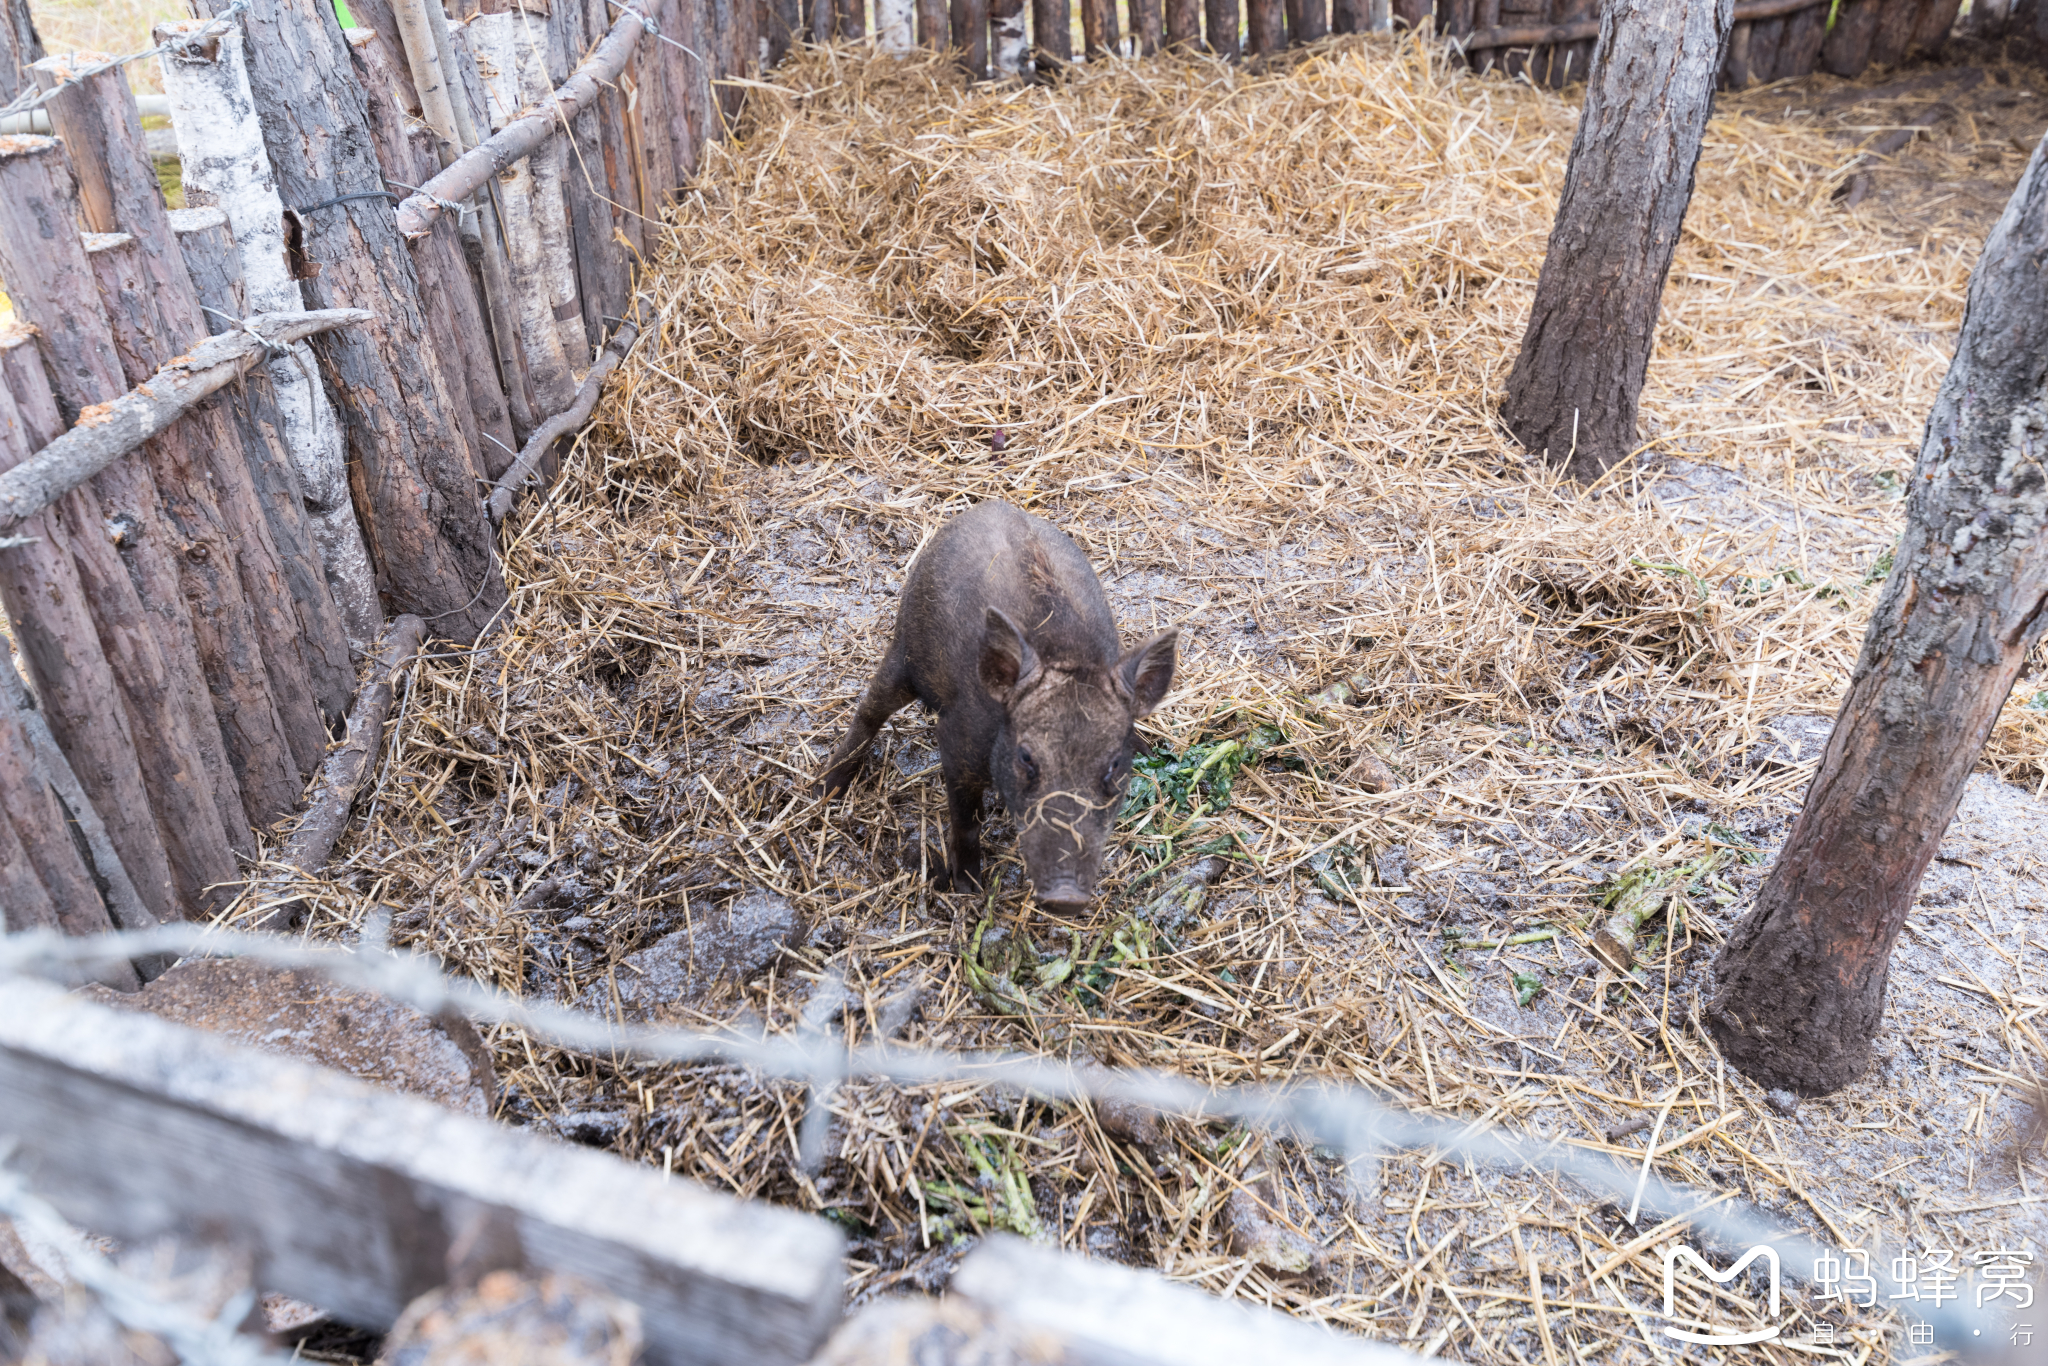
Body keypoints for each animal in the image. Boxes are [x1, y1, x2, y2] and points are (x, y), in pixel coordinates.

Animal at [811, 497, 1171, 913]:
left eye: (1113, 765)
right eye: (1027, 757)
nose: (1066, 897)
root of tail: (990, 505)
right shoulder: (955, 741)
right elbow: (966, 822)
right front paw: (968, 889)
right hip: (905, 648)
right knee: (869, 710)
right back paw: (824, 790)